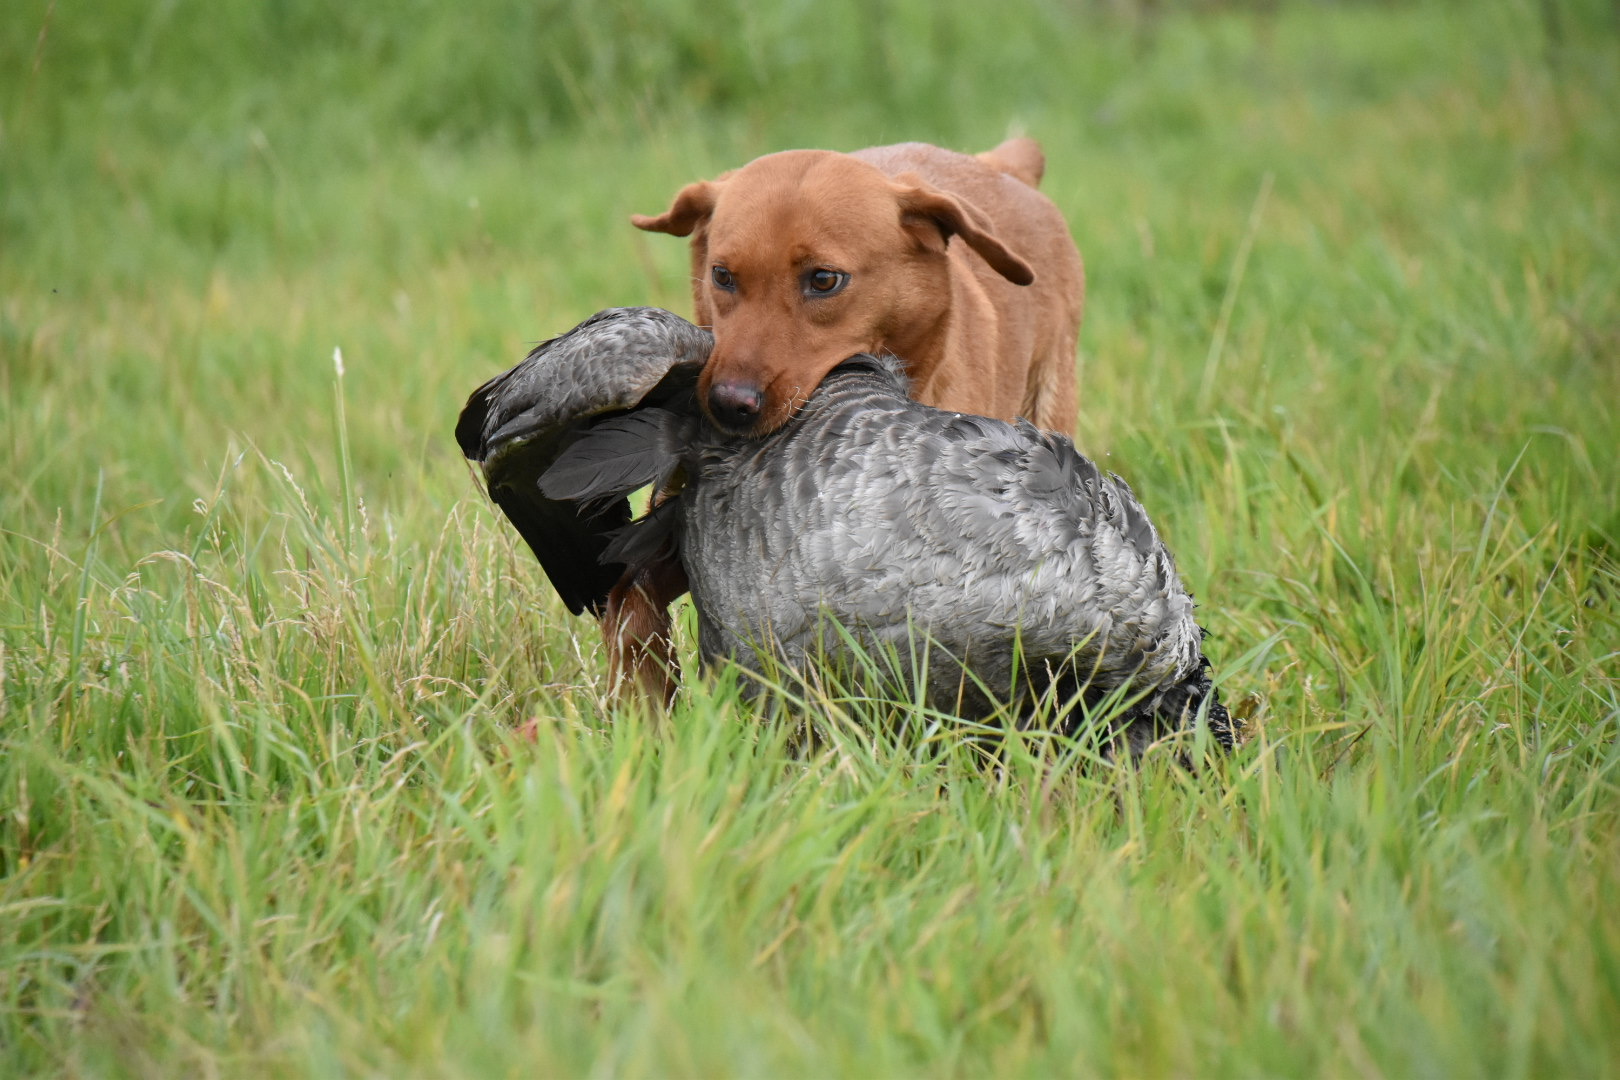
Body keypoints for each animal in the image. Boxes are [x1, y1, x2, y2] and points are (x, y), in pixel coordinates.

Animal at [609, 137, 1088, 702]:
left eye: (823, 280)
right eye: (722, 276)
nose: (728, 403)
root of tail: (1005, 166)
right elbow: (632, 597)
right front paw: (642, 703)